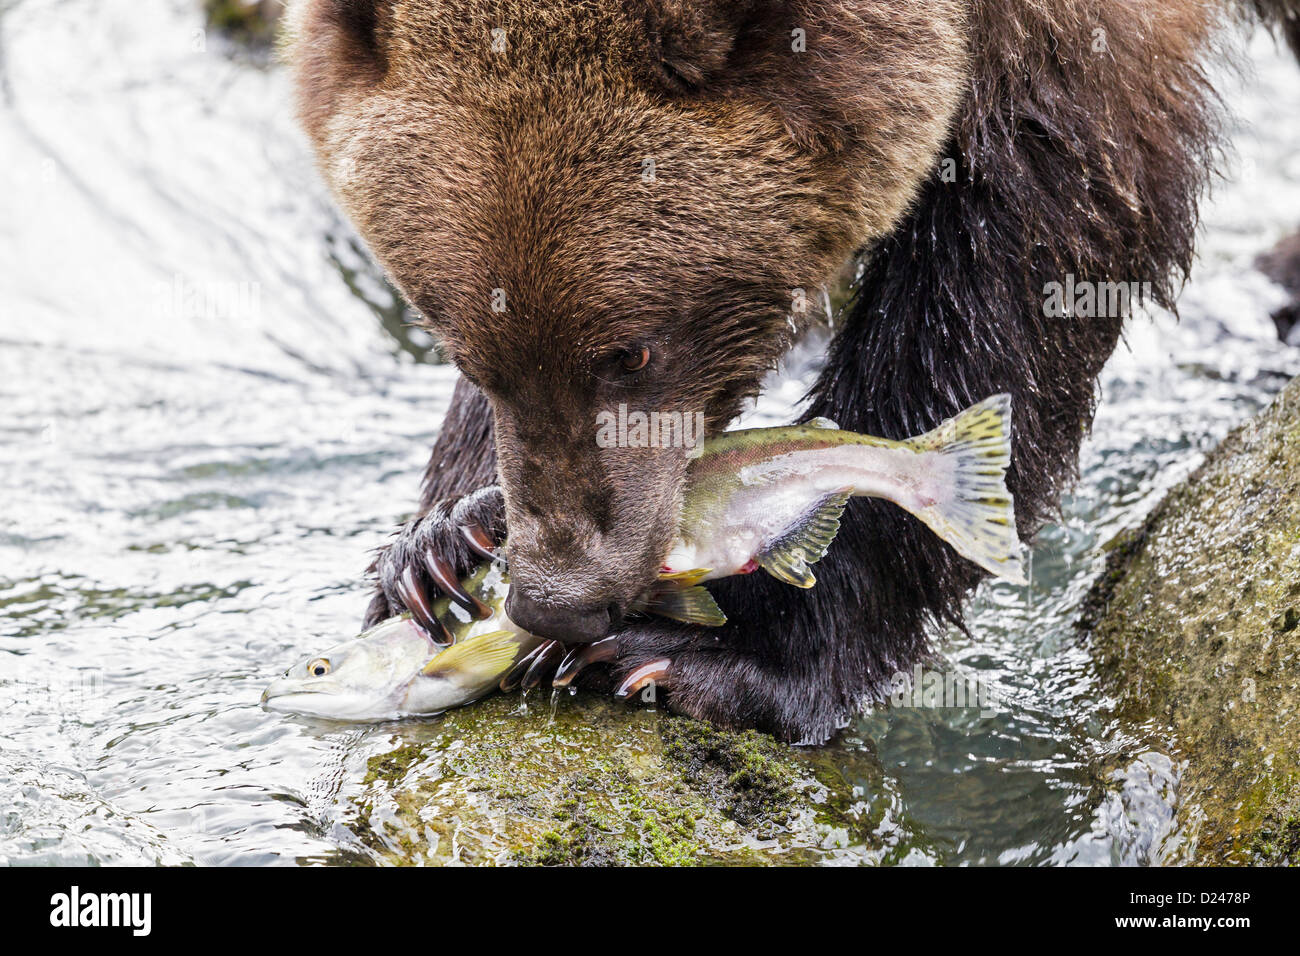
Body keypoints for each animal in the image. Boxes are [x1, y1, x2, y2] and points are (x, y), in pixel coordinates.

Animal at [286, 0, 1300, 743]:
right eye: (458, 342)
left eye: (633, 349)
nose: (560, 603)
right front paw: (439, 545)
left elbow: (1021, 242)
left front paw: (722, 659)